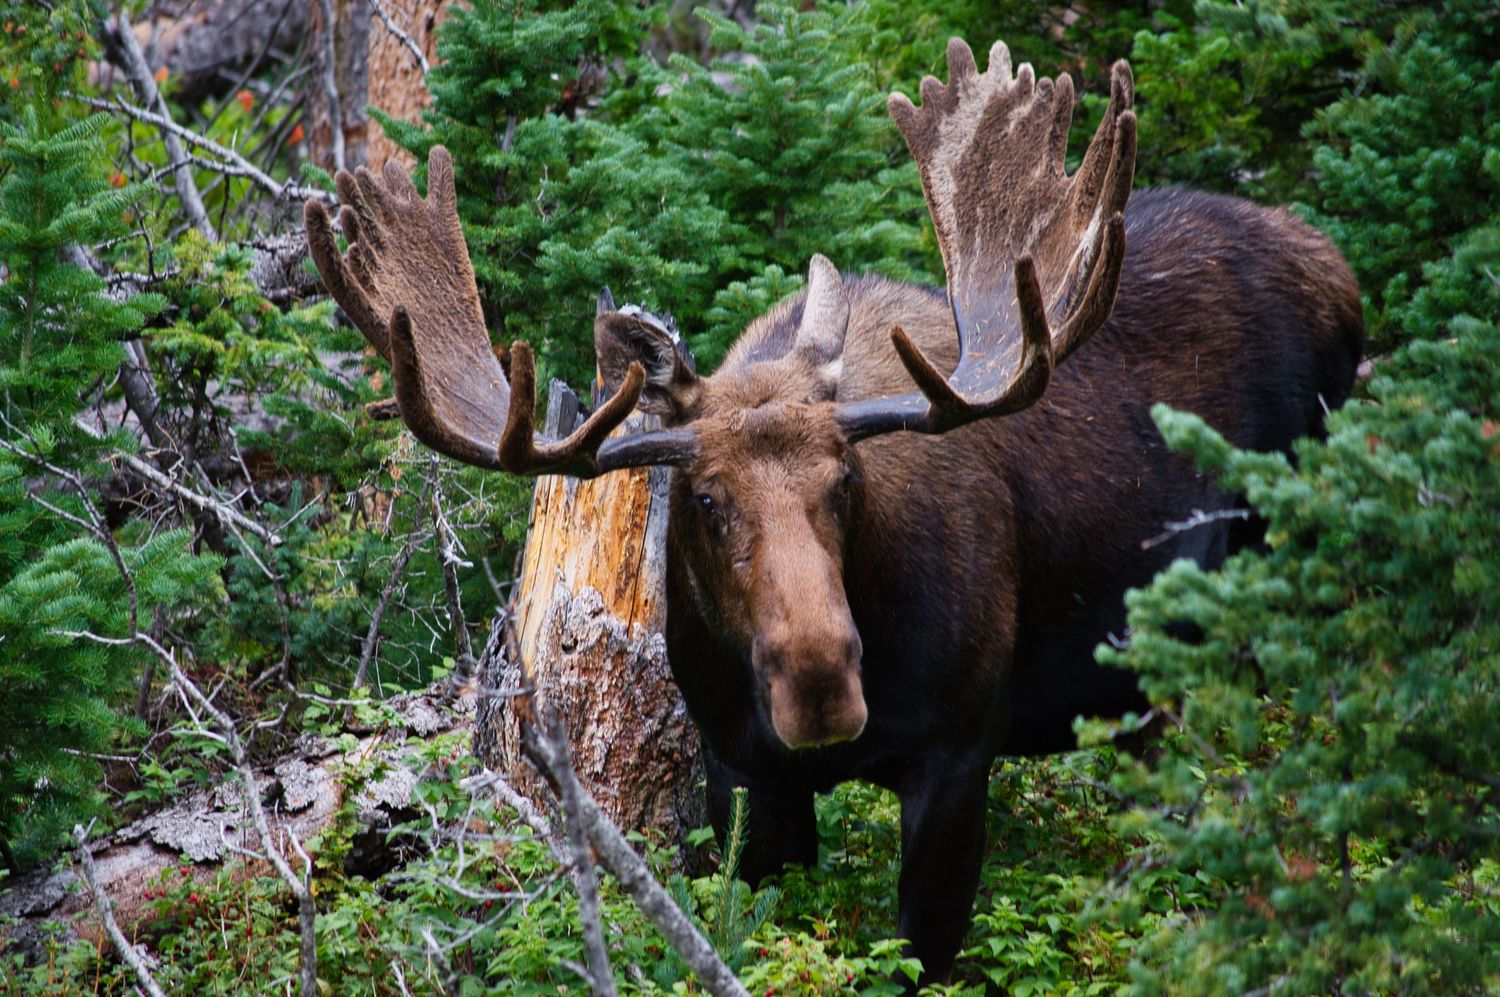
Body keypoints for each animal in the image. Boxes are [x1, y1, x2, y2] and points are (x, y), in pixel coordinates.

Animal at [305, 38, 1362, 986]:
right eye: (705, 497)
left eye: (847, 479)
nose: (817, 679)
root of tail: (1341, 268)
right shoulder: (744, 770)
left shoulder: (957, 752)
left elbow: (920, 955)